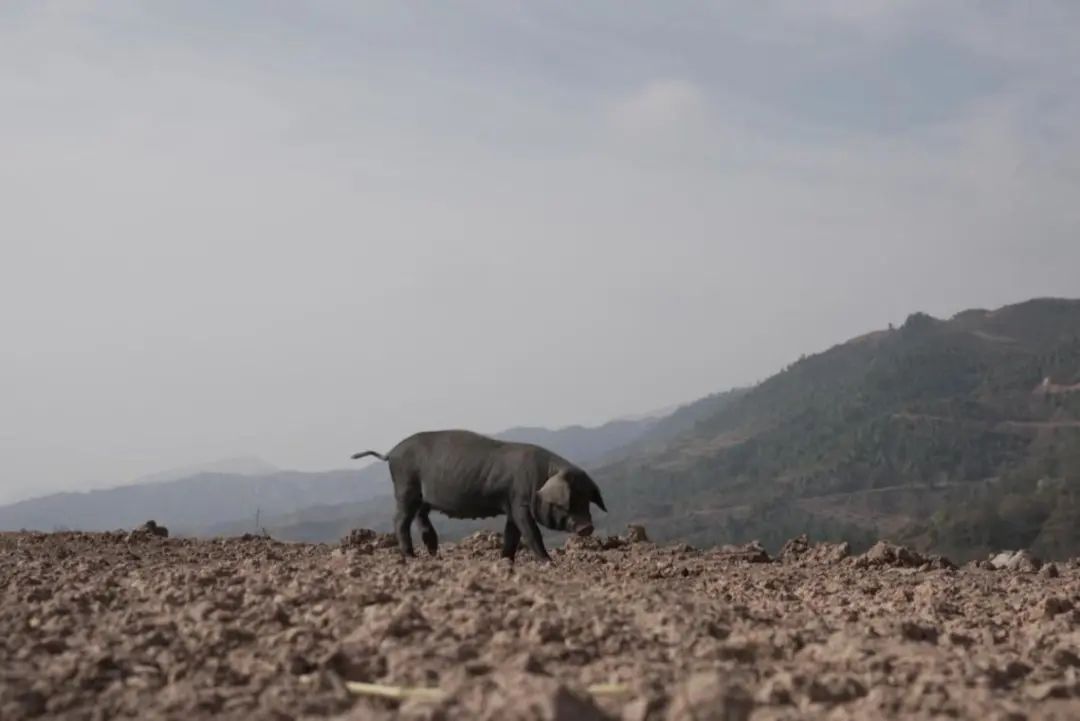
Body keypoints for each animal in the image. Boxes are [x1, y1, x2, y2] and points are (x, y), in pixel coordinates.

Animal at [354, 427, 609, 561]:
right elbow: (531, 533)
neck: (539, 481)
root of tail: (391, 453)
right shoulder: (519, 501)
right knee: (400, 520)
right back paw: (411, 557)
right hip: (405, 486)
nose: (587, 527)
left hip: (421, 498)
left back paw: (435, 555)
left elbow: (512, 534)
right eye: (565, 502)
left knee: (422, 521)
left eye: (586, 500)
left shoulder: (511, 505)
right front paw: (548, 562)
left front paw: (506, 561)